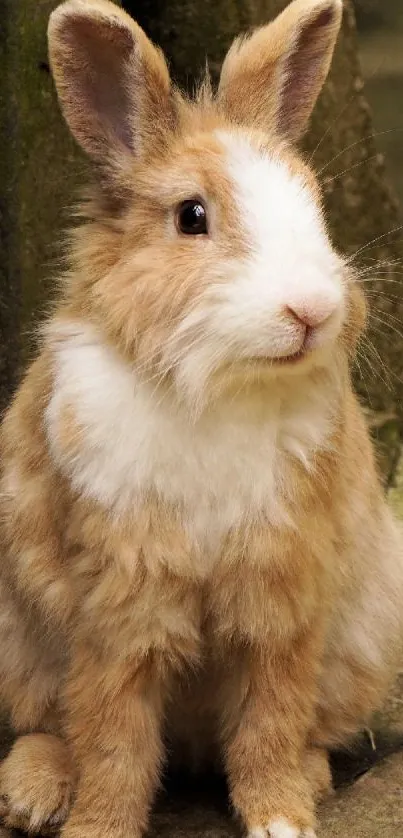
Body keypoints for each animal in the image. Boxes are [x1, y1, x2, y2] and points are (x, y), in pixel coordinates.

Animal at [0, 0, 402, 836]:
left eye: (315, 205)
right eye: (191, 217)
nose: (311, 311)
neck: (220, 386)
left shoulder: (280, 586)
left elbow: (269, 716)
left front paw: (280, 819)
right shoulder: (120, 593)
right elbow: (112, 730)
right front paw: (98, 826)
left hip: (365, 636)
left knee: (307, 728)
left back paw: (310, 778)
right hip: (17, 641)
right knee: (46, 725)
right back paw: (32, 794)